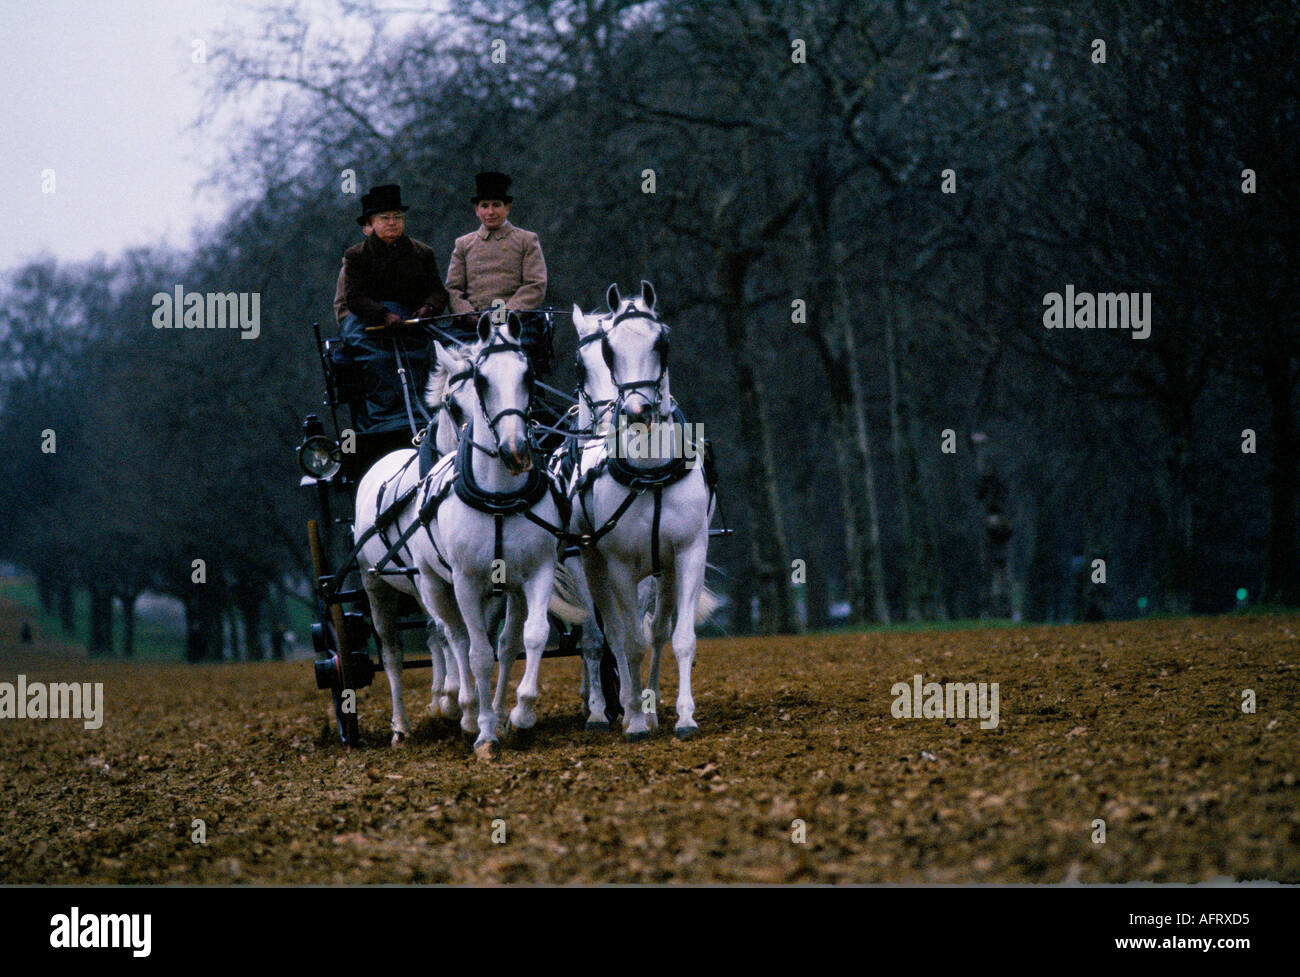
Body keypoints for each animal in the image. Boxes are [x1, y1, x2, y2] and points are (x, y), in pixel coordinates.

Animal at [569, 282, 717, 740]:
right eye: (610, 350)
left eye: (661, 341)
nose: (636, 412)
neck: (650, 472)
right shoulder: (616, 564)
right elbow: (627, 641)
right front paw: (632, 720)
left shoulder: (688, 553)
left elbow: (678, 637)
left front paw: (684, 717)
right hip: (591, 564)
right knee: (609, 636)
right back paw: (610, 711)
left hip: (660, 571)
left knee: (657, 630)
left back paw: (646, 706)